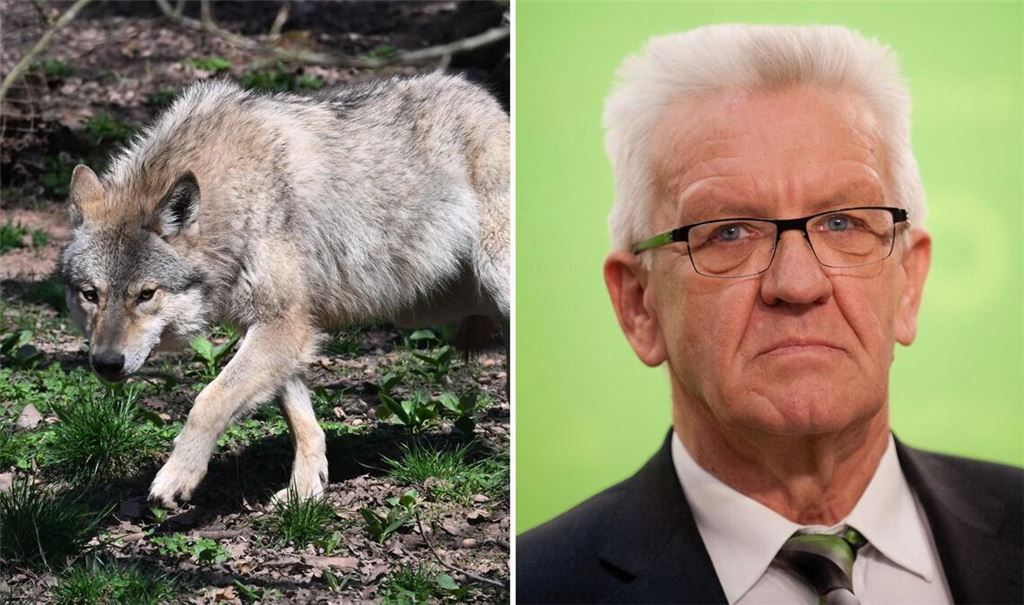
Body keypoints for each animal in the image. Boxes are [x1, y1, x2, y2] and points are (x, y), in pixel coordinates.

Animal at [57, 73, 509, 507]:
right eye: (91, 295)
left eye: (145, 294)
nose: (106, 363)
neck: (237, 197)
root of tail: (492, 104)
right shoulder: (278, 331)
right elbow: (302, 422)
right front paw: (305, 491)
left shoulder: (284, 325)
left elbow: (209, 400)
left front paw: (177, 476)